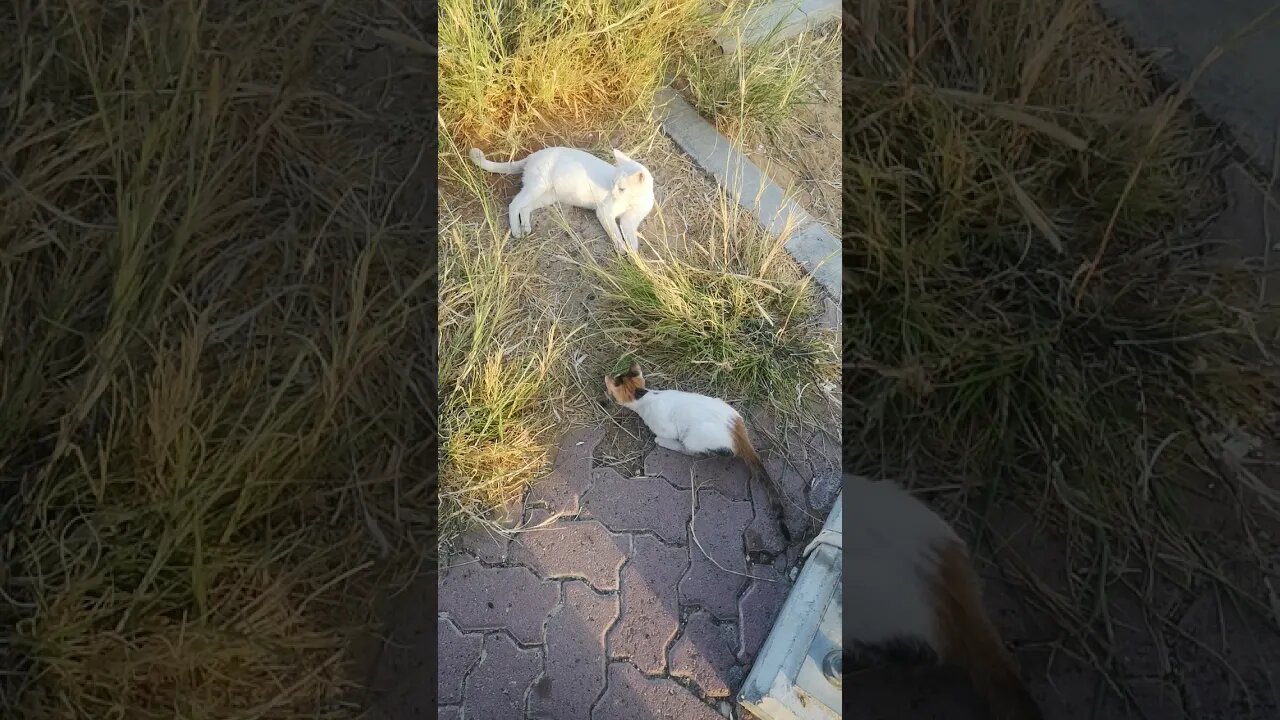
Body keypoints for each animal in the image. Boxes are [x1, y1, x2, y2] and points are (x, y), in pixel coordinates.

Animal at [465, 144, 655, 251]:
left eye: (621, 188)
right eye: (613, 183)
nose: (613, 192)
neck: (633, 201)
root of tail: (533, 155)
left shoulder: (629, 221)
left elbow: (631, 237)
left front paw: (634, 255)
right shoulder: (605, 213)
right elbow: (615, 233)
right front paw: (622, 248)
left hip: (547, 196)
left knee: (525, 208)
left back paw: (526, 228)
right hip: (537, 186)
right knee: (514, 204)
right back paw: (517, 230)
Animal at [601, 358, 788, 538]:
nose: (605, 395)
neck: (643, 395)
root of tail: (738, 434)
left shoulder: (666, 427)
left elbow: (666, 434)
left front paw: (660, 439)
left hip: (692, 438)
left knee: (690, 450)